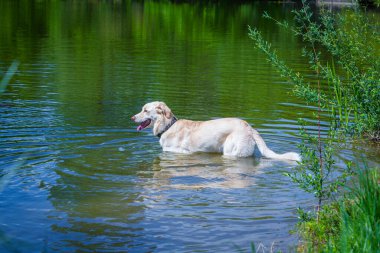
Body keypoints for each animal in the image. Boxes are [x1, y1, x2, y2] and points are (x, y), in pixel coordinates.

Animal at [132, 102, 302, 161]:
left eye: (145, 110)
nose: (132, 117)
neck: (168, 126)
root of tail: (249, 126)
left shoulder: (181, 152)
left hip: (231, 152)